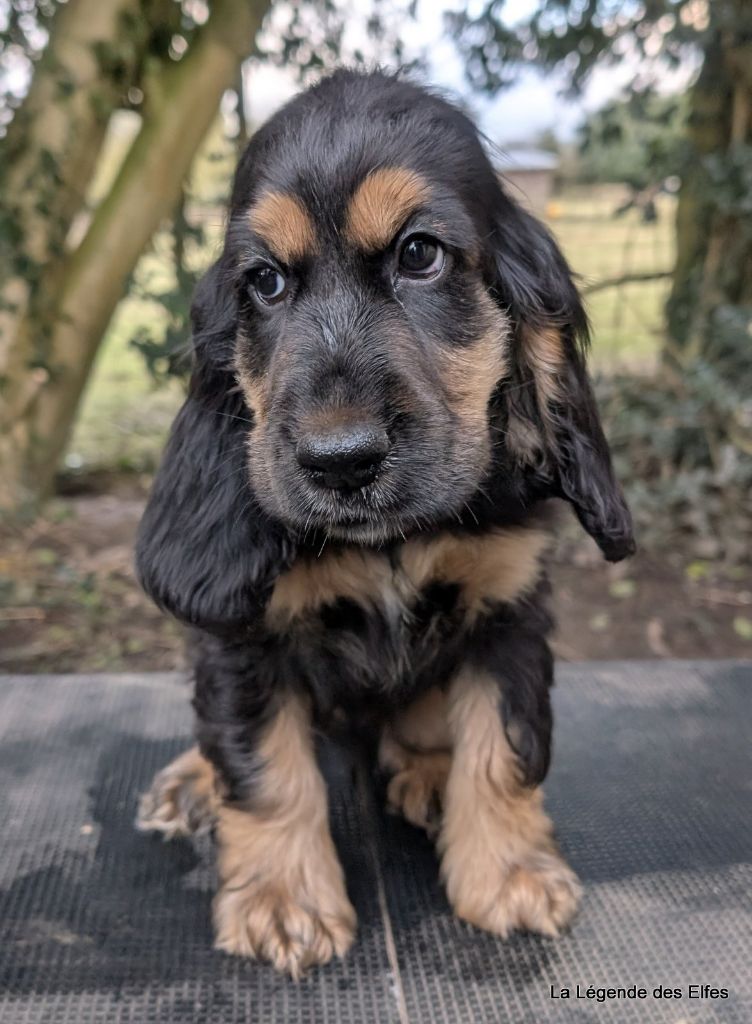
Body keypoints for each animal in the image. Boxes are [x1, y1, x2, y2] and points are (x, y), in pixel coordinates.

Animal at [135, 70, 635, 974]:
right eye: (264, 282)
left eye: (419, 255)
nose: (340, 462)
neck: (393, 541)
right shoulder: (244, 638)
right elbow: (262, 764)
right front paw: (283, 900)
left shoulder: (510, 609)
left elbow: (506, 746)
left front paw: (510, 874)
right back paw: (192, 782)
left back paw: (427, 771)